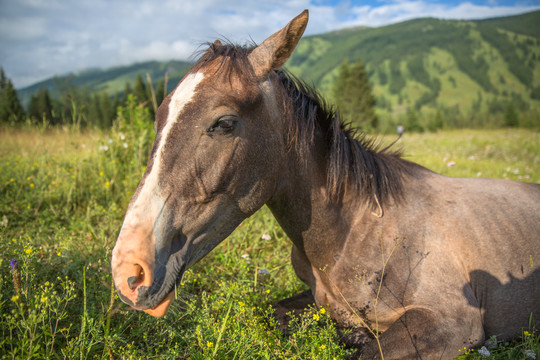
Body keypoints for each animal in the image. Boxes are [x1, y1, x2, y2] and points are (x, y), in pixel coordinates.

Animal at [110, 9, 540, 358]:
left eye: (224, 123)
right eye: (159, 116)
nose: (128, 271)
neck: (354, 230)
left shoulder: (448, 323)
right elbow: (280, 313)